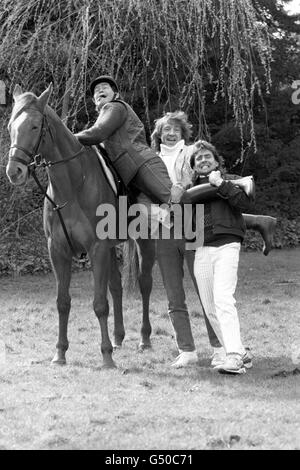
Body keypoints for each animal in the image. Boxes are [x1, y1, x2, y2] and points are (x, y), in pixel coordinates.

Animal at [5, 84, 156, 368]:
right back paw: (118, 338)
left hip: (143, 243)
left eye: (34, 126)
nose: (14, 171)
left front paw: (106, 357)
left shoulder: (97, 248)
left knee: (144, 285)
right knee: (116, 287)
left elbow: (99, 304)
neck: (72, 187)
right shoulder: (58, 251)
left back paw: (144, 339)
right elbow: (63, 302)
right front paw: (60, 353)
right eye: (11, 126)